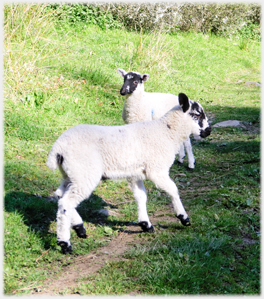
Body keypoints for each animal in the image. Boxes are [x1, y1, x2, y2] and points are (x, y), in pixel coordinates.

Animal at [45, 92, 210, 254]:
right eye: (197, 114)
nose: (208, 131)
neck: (167, 132)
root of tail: (58, 149)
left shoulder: (135, 173)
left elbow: (141, 196)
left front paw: (145, 224)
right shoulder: (157, 170)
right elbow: (173, 190)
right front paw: (183, 218)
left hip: (71, 174)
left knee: (59, 195)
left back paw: (79, 228)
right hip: (84, 172)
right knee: (66, 203)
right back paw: (65, 244)